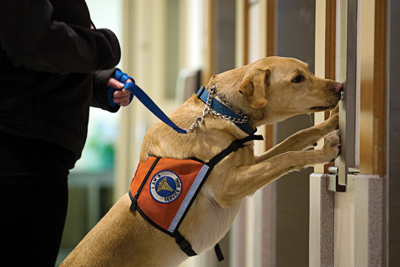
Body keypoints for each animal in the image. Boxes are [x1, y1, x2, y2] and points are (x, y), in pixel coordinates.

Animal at [61, 55, 342, 266]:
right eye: (297, 79)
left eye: (308, 70)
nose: (340, 87)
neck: (221, 110)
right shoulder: (230, 186)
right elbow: (287, 156)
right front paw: (324, 152)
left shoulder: (250, 164)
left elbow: (295, 140)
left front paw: (332, 121)